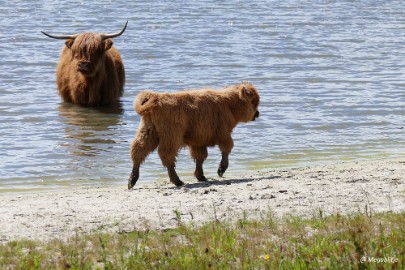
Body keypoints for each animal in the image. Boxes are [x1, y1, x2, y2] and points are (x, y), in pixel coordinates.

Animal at [127, 82, 258, 188]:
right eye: (253, 101)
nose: (257, 114)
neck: (229, 103)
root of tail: (156, 97)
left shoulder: (199, 140)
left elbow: (200, 157)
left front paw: (201, 176)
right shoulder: (223, 133)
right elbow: (226, 148)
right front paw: (220, 170)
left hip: (148, 132)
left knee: (139, 151)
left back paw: (131, 181)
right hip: (171, 136)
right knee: (166, 155)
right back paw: (178, 181)